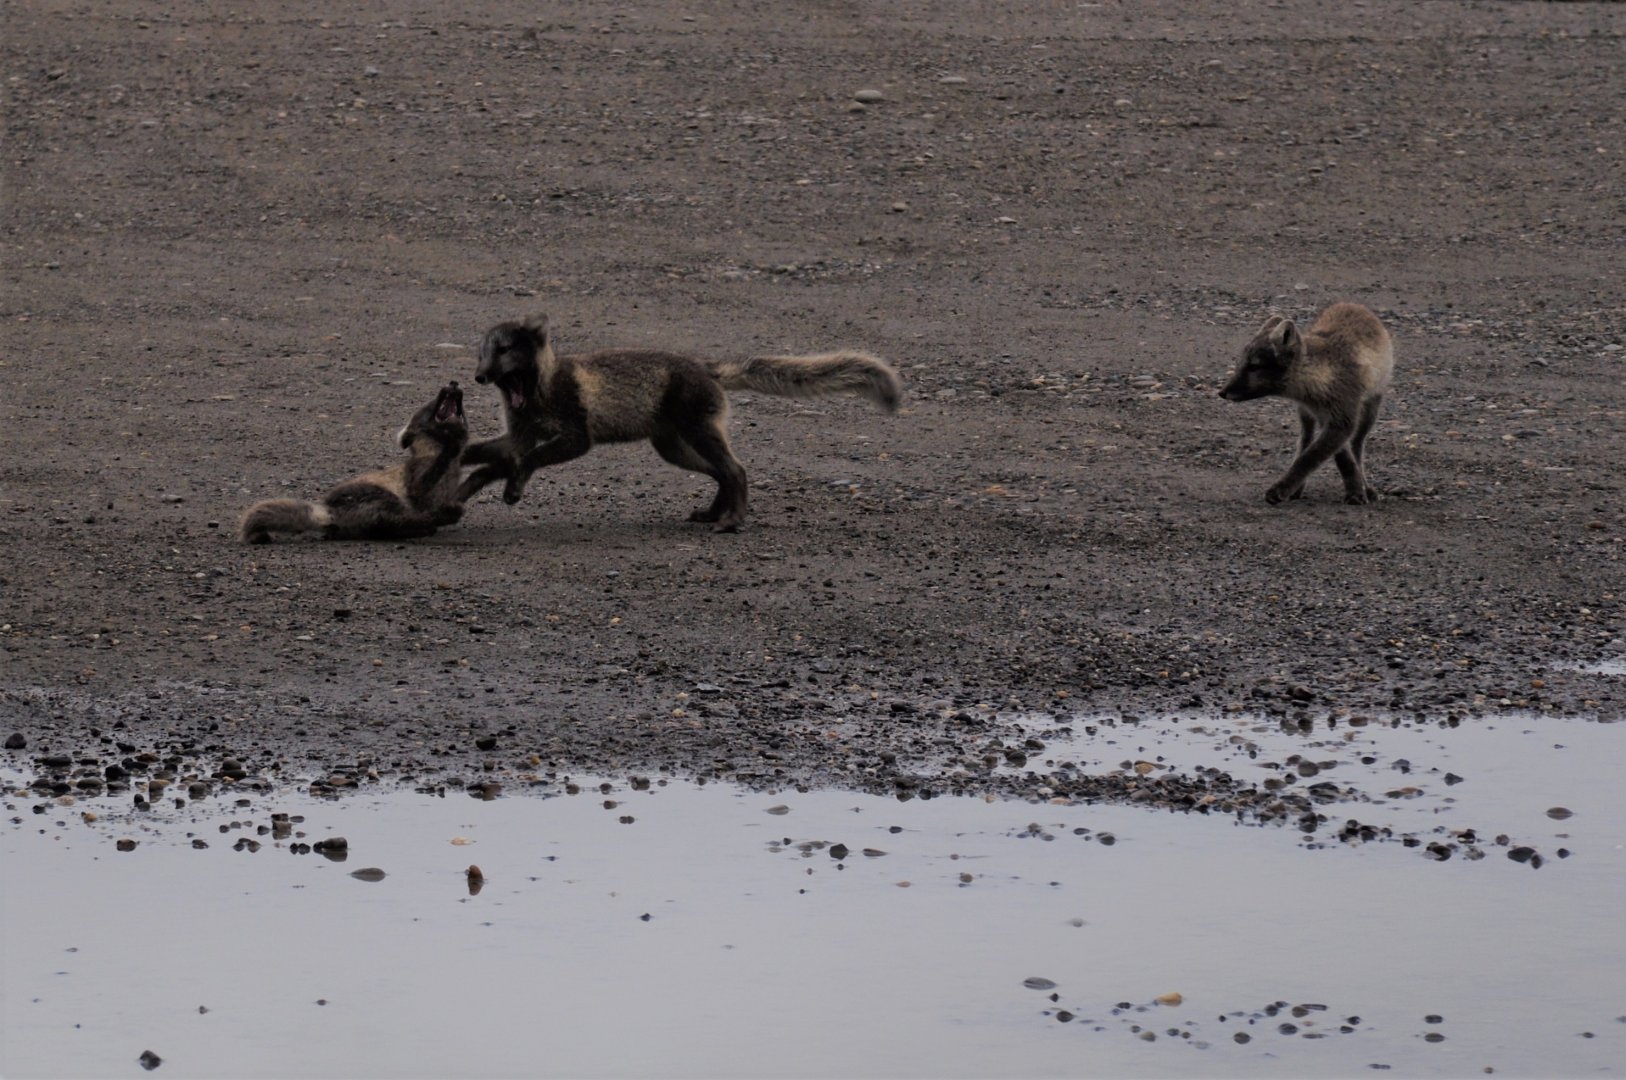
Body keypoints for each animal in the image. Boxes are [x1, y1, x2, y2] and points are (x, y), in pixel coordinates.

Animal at [239, 382, 469, 543]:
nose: (453, 383)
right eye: (430, 404)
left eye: (462, 410)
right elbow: (421, 487)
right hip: (372, 494)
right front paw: (451, 444)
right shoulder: (416, 472)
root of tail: (329, 512)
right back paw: (424, 521)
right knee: (387, 514)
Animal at [455, 313, 902, 531]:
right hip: (673, 448)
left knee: (737, 470)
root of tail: (707, 366)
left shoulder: (576, 436)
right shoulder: (519, 433)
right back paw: (712, 514)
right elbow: (493, 453)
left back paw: (732, 522)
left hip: (696, 433)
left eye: (504, 350)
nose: (478, 377)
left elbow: (529, 461)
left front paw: (513, 489)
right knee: (723, 473)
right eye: (481, 354)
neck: (539, 392)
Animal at [1219, 302, 1394, 506]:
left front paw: (1357, 492)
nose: (1221, 392)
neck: (1322, 375)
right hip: (1306, 417)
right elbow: (1333, 458)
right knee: (1305, 441)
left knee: (1357, 446)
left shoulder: (1342, 420)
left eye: (1254, 366)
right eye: (1241, 364)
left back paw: (1365, 485)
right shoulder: (1325, 418)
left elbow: (1310, 459)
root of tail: (1353, 305)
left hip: (1368, 414)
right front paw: (1354, 489)